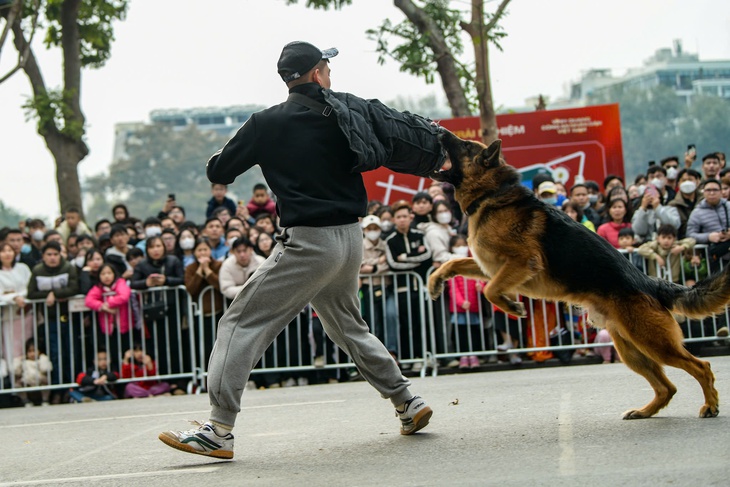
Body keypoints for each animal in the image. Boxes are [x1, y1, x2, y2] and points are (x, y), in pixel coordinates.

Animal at [430, 130, 720, 420]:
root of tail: (651, 283)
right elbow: (453, 262)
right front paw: (435, 282)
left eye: (466, 146)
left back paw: (710, 405)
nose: (440, 131)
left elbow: (491, 290)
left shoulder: (522, 262)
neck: (492, 193)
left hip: (653, 342)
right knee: (667, 387)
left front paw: (512, 306)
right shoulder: (492, 267)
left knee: (701, 367)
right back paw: (644, 411)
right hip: (631, 349)